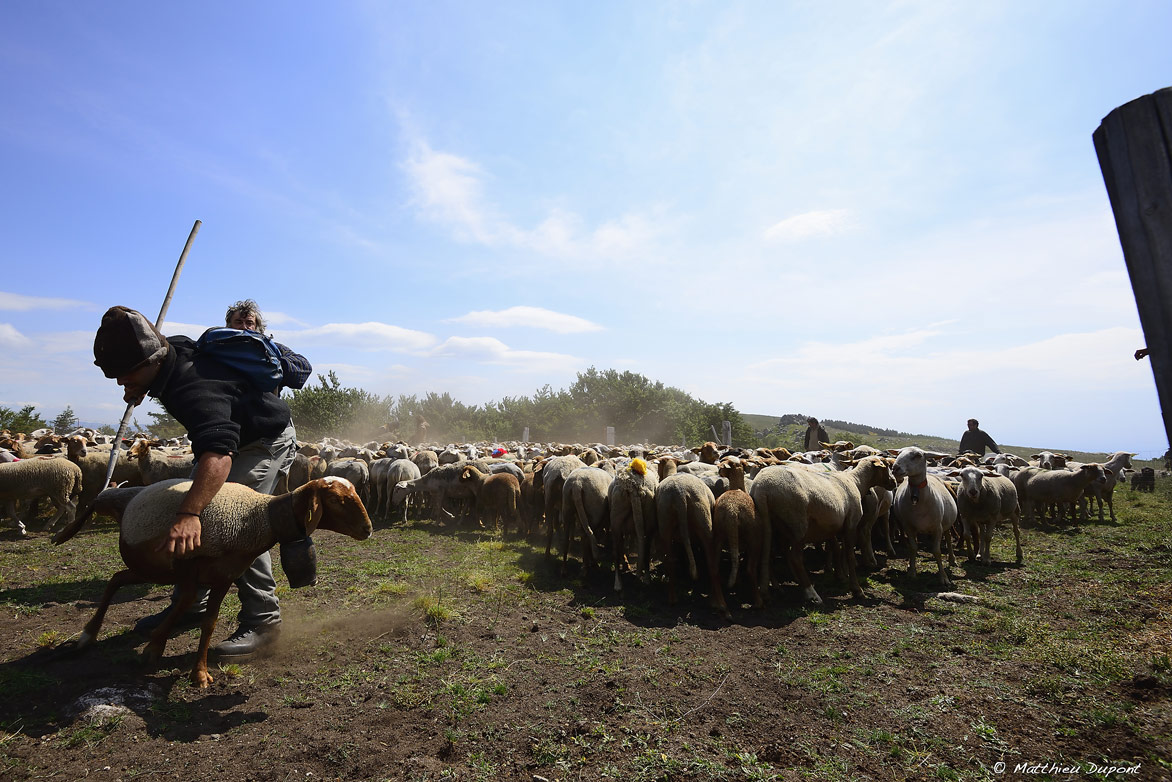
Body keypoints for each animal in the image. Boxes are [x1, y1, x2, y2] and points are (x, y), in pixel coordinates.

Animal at [52, 476, 372, 688]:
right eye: (337, 500)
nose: (368, 529)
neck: (258, 519)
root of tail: (118, 498)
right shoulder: (189, 566)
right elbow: (188, 602)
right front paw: (159, 647)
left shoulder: (223, 577)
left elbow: (209, 623)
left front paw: (197, 671)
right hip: (155, 567)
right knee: (116, 581)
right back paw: (87, 635)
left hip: (153, 570)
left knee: (118, 578)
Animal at [750, 456, 897, 604]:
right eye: (886, 465)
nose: (894, 482)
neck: (857, 481)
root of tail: (761, 488)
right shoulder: (851, 524)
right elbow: (849, 555)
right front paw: (857, 589)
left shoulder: (831, 526)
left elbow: (836, 549)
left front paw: (840, 575)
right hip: (798, 523)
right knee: (795, 557)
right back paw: (811, 593)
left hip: (773, 526)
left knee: (768, 555)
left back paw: (771, 590)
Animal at [891, 447, 958, 589]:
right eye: (899, 453)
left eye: (917, 455)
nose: (895, 468)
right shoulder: (909, 527)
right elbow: (913, 547)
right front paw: (912, 572)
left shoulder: (937, 528)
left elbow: (937, 551)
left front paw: (943, 578)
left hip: (946, 523)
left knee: (949, 538)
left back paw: (952, 559)